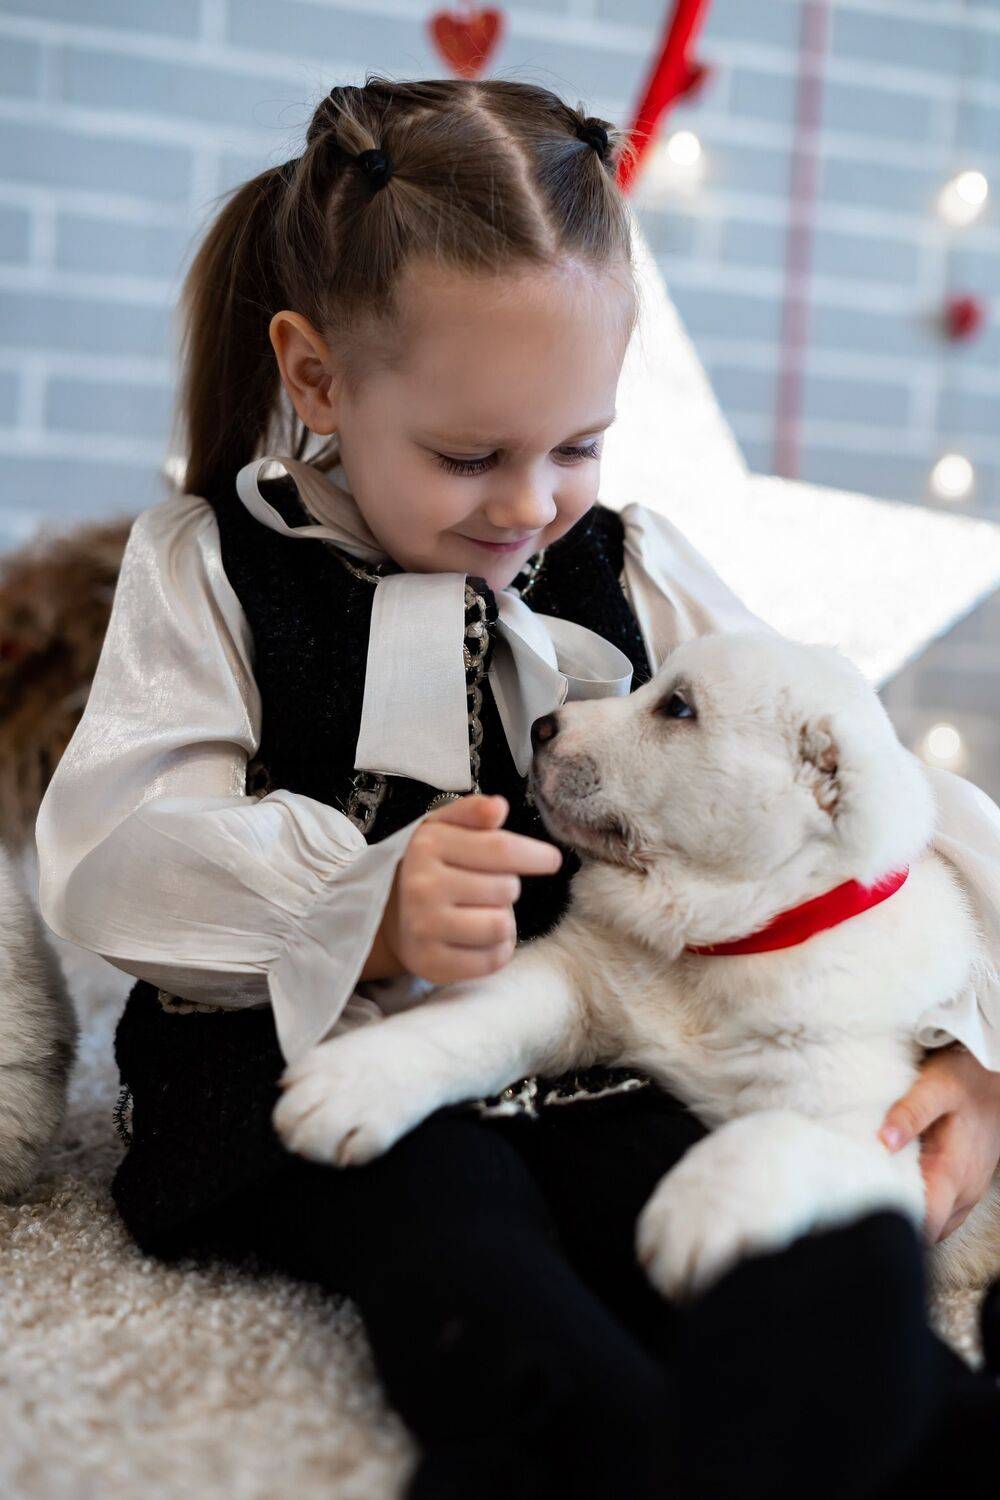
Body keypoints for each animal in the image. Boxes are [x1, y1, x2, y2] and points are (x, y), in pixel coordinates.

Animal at [273, 629, 1000, 1299]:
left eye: (678, 708)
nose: (540, 726)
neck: (716, 949)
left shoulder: (876, 1134)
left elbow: (777, 1135)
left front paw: (693, 1215)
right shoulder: (569, 980)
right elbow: (467, 1024)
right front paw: (358, 1078)